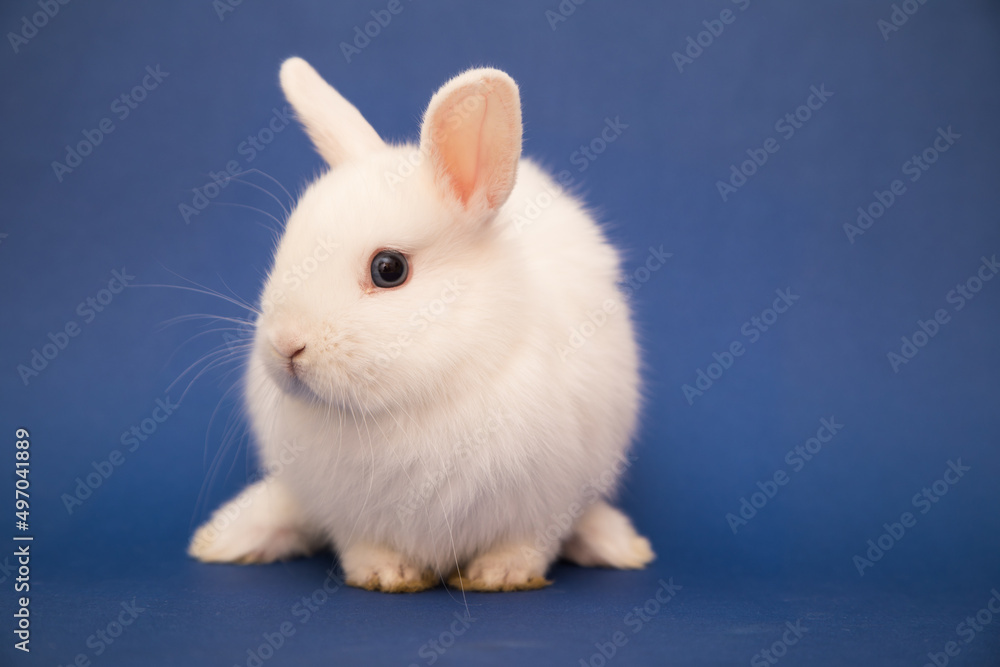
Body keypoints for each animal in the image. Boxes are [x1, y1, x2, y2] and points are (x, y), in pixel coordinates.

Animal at [188, 57, 654, 592]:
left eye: (388, 269)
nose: (286, 347)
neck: (406, 402)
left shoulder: (548, 501)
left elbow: (530, 542)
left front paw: (501, 574)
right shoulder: (347, 514)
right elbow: (361, 544)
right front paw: (386, 573)